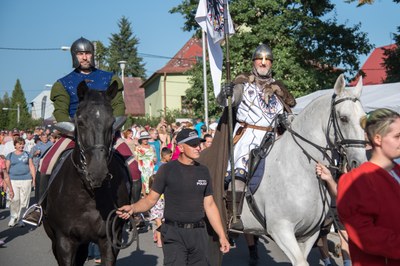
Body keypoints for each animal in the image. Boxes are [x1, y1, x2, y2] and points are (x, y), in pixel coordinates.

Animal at [43, 81, 131, 266]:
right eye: (81, 122)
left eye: (111, 122)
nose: (97, 172)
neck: (88, 195)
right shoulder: (64, 242)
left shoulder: (109, 240)